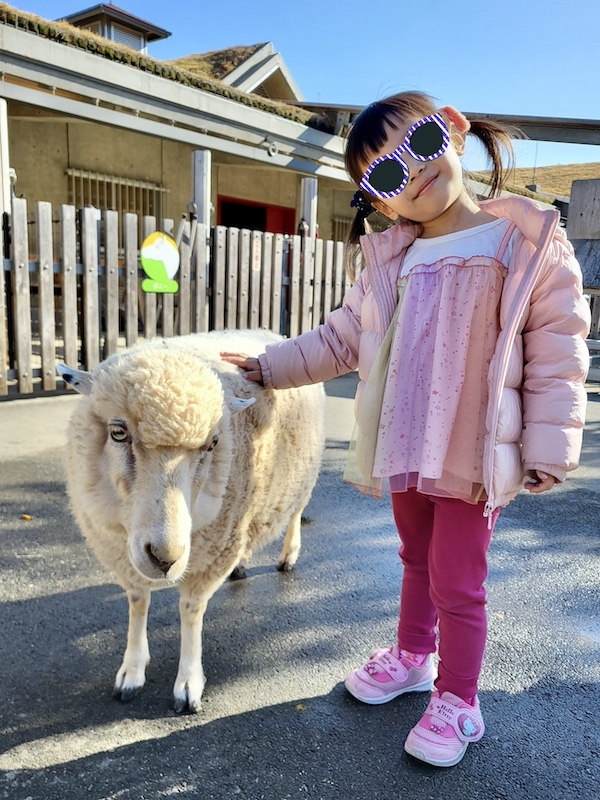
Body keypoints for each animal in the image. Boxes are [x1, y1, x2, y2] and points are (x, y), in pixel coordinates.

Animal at [58, 332, 326, 712]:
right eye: (118, 433)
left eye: (213, 443)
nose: (165, 558)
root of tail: (277, 335)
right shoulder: (124, 555)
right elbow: (138, 602)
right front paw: (132, 672)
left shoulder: (215, 552)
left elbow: (191, 609)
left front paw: (188, 684)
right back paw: (242, 565)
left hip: (299, 477)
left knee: (295, 514)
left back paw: (288, 556)